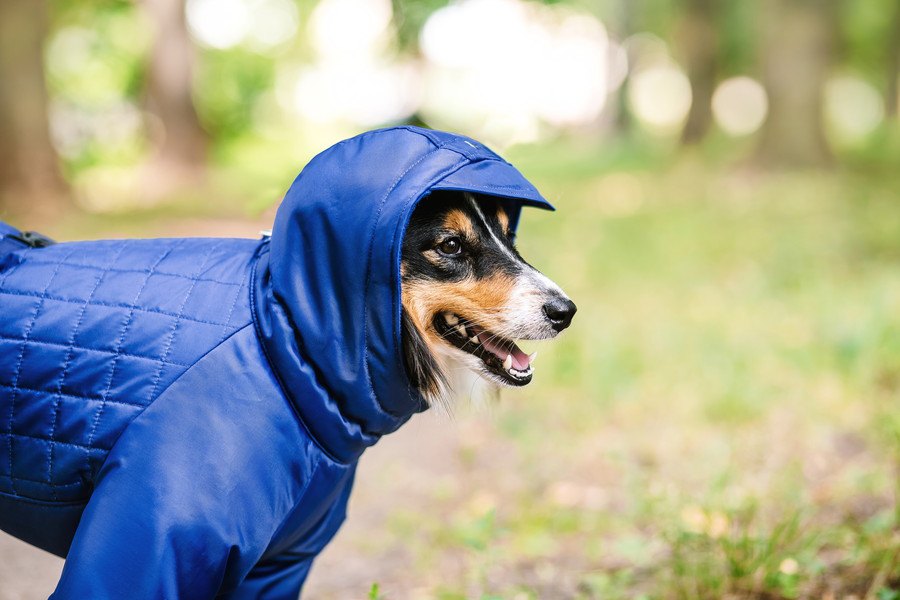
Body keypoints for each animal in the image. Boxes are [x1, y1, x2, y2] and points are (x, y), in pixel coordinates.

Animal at [0, 125, 576, 596]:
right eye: (451, 245)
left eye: (510, 235)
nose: (565, 311)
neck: (285, 342)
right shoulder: (149, 541)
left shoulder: (276, 565)